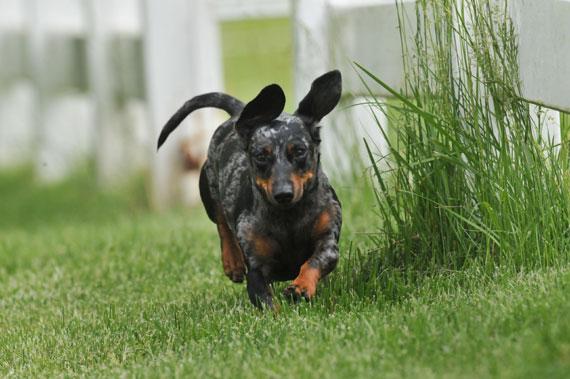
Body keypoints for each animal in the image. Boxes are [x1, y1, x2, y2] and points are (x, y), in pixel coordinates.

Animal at [156, 70, 342, 308]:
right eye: (260, 155)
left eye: (300, 151)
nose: (283, 194)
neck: (288, 218)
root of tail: (238, 112)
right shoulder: (256, 268)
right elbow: (266, 300)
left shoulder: (329, 240)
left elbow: (315, 261)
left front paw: (301, 286)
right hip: (208, 190)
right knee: (222, 224)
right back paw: (232, 262)